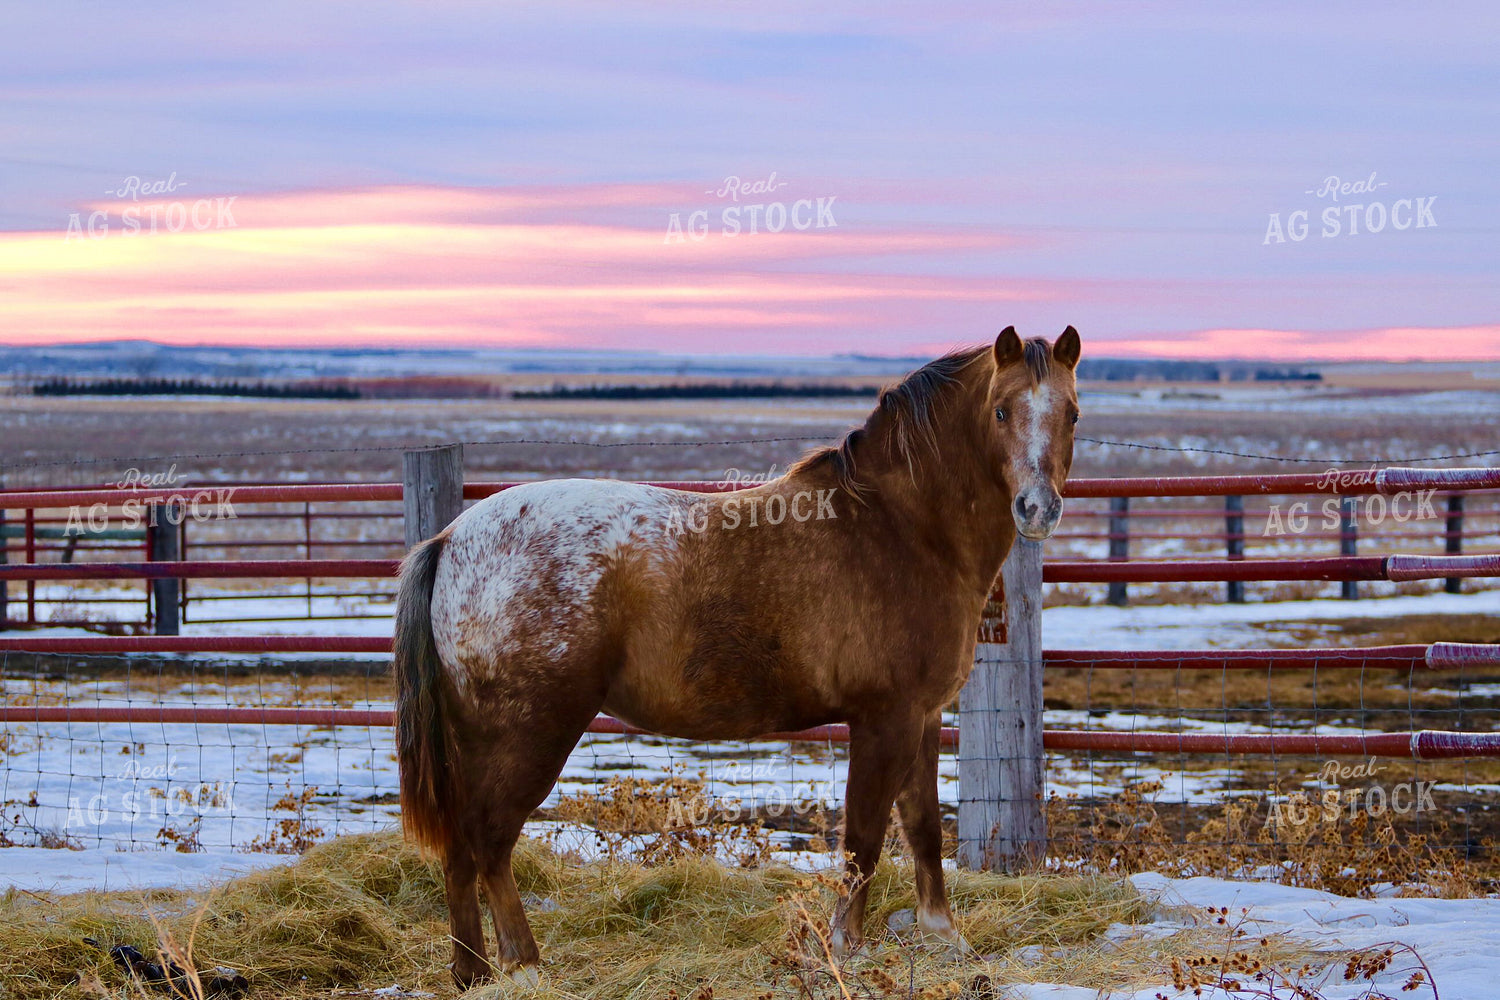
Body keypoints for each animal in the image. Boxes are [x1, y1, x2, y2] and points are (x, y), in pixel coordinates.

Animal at [393, 325, 1081, 986]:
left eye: (1072, 412)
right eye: (1001, 410)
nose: (1038, 509)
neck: (900, 528)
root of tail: (451, 540)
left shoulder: (924, 715)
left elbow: (923, 827)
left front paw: (942, 934)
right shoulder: (884, 719)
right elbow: (863, 840)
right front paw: (844, 948)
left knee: (460, 849)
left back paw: (472, 971)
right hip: (527, 734)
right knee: (490, 840)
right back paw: (525, 964)